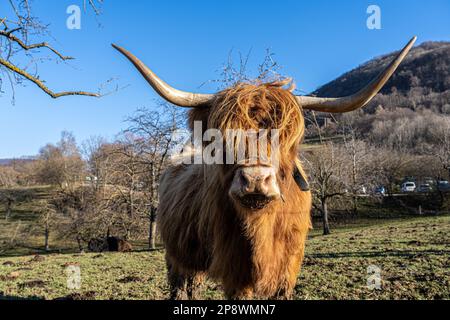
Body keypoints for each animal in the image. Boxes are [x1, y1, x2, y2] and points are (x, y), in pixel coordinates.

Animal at [114, 37, 416, 300]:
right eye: (224, 137)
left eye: (285, 137)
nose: (255, 179)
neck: (262, 229)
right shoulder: (236, 274)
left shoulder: (287, 271)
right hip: (175, 256)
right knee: (180, 286)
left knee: (194, 286)